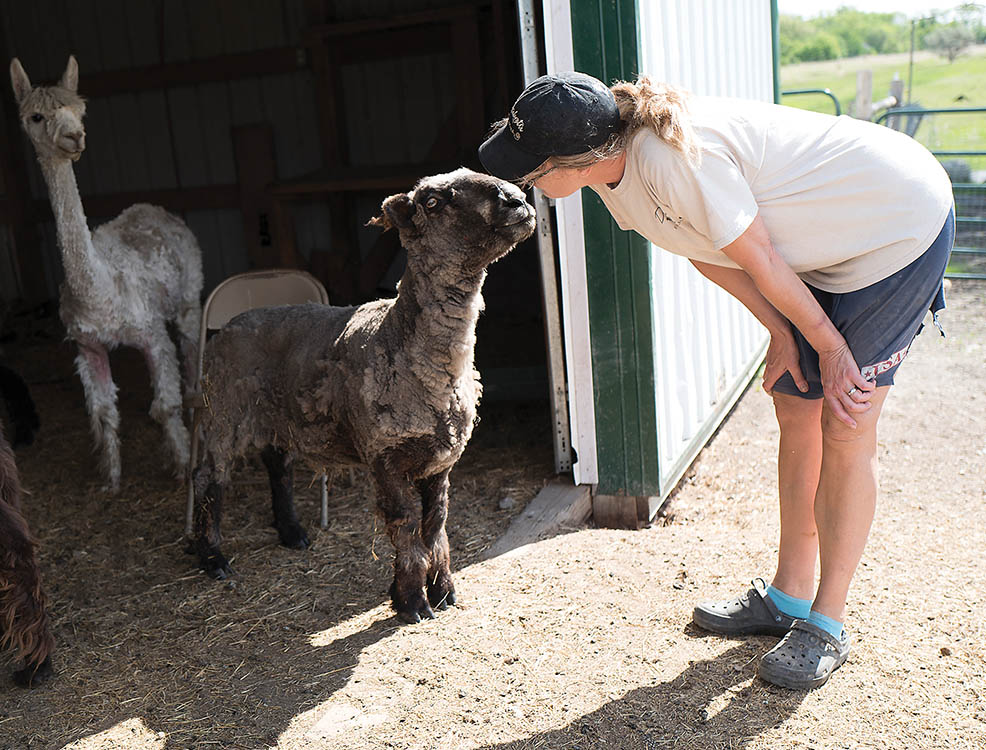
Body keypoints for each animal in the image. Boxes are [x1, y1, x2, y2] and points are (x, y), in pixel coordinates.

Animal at [189, 168, 535, 623]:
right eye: (432, 202)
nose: (516, 200)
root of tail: (227, 327)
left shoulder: (440, 463)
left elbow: (436, 523)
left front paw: (443, 590)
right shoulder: (384, 456)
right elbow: (405, 526)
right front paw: (412, 601)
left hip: (276, 416)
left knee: (277, 467)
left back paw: (292, 532)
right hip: (224, 411)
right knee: (209, 477)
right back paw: (213, 558)